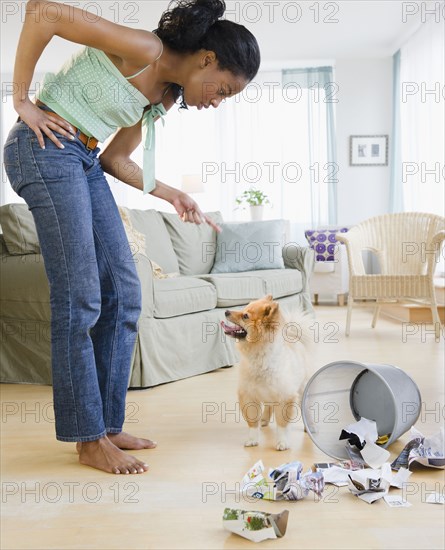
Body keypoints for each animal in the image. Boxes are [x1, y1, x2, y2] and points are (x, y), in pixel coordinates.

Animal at [221, 296, 310, 450]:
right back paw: (264, 419)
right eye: (243, 309)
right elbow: (252, 423)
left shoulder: (285, 396)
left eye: (245, 316)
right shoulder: (249, 395)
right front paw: (252, 439)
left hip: (301, 388)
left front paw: (282, 442)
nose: (226, 311)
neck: (258, 356)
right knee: (268, 405)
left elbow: (282, 424)